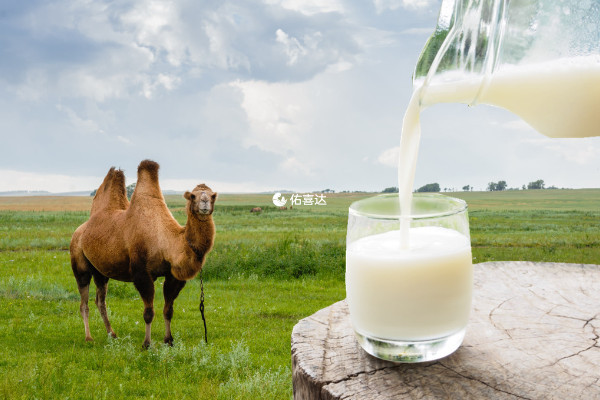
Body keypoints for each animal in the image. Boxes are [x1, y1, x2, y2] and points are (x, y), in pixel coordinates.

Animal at [69, 159, 218, 346]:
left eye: (213, 196)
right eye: (193, 196)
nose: (204, 202)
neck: (166, 240)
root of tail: (79, 231)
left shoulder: (173, 275)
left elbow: (168, 310)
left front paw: (169, 340)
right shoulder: (141, 272)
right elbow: (148, 312)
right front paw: (147, 344)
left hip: (100, 270)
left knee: (100, 300)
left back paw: (112, 334)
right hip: (79, 262)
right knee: (84, 302)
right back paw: (89, 337)